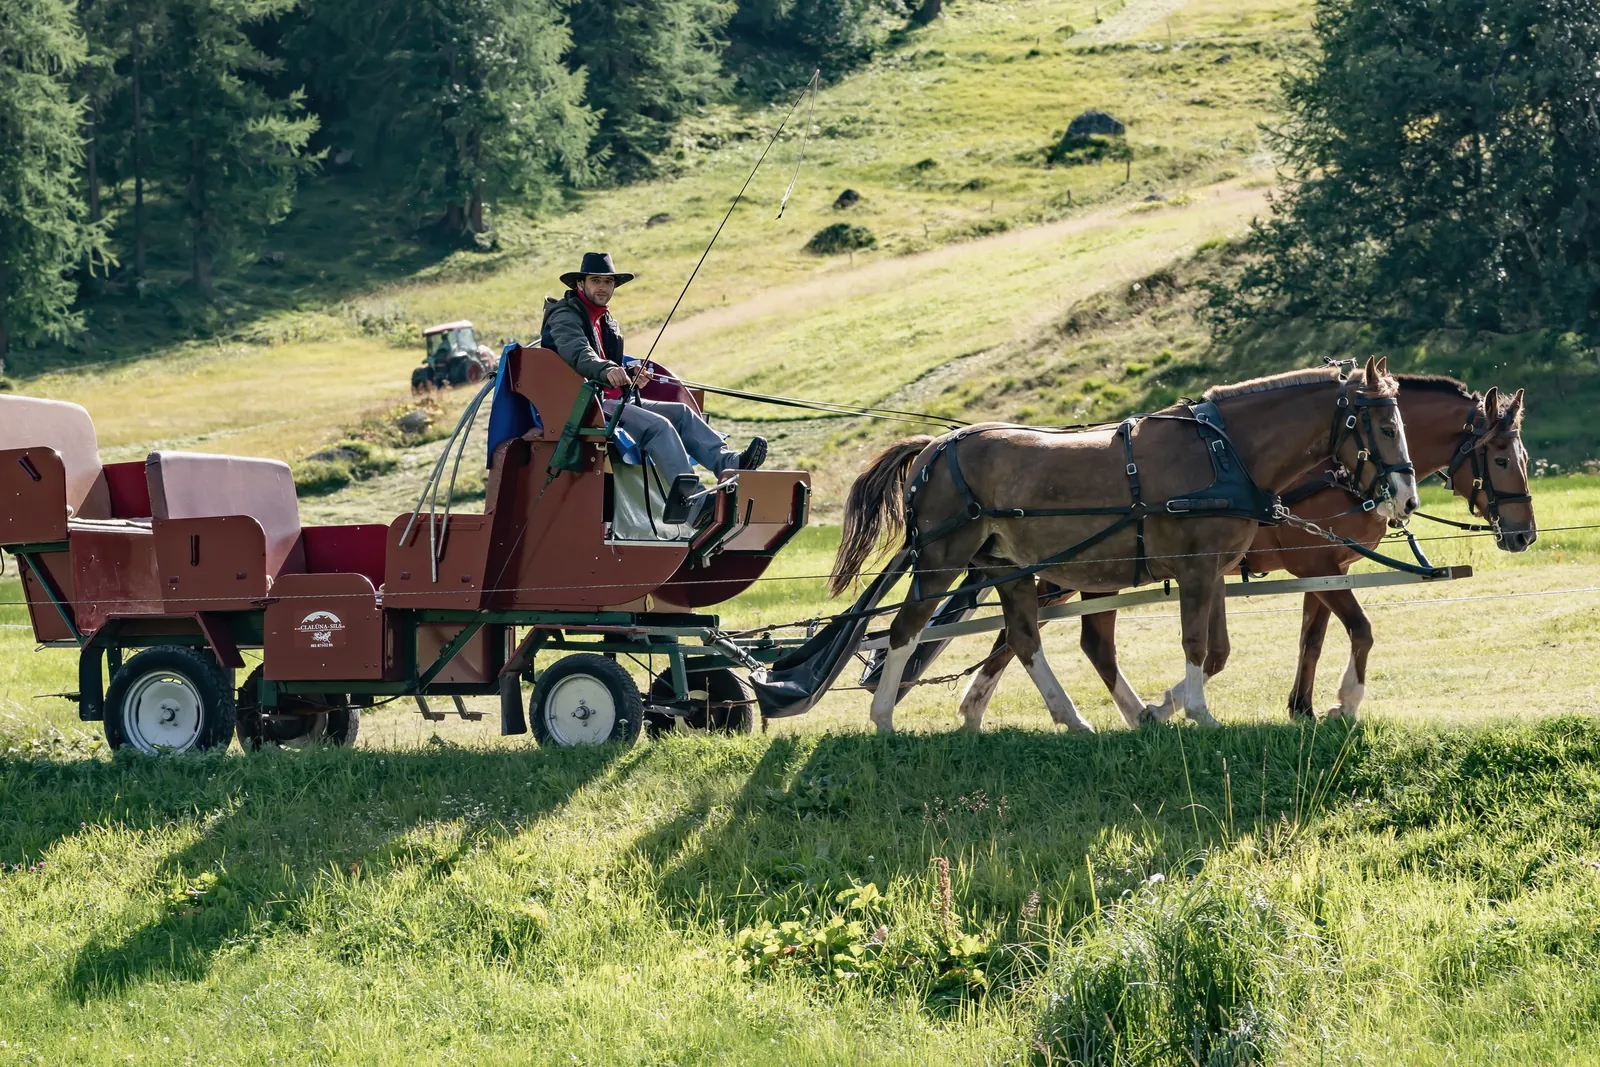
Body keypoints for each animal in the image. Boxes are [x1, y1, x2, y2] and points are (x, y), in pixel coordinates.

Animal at [828, 358, 1420, 734]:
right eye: (1385, 427)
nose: (1407, 497)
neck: (1224, 454)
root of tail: (934, 445)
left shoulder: (1213, 571)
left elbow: (1218, 650)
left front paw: (1164, 710)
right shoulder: (1196, 570)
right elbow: (1195, 644)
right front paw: (1199, 715)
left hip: (1008, 566)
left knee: (1023, 638)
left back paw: (1076, 718)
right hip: (940, 559)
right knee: (905, 629)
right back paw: (883, 720)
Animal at [948, 376, 1535, 730]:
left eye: (1521, 456)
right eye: (1502, 458)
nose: (1524, 534)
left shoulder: (1322, 569)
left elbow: (1307, 640)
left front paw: (1301, 706)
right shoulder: (1314, 563)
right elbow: (1358, 631)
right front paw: (1344, 701)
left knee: (1063, 638)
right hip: (1075, 573)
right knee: (1028, 636)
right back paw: (982, 708)